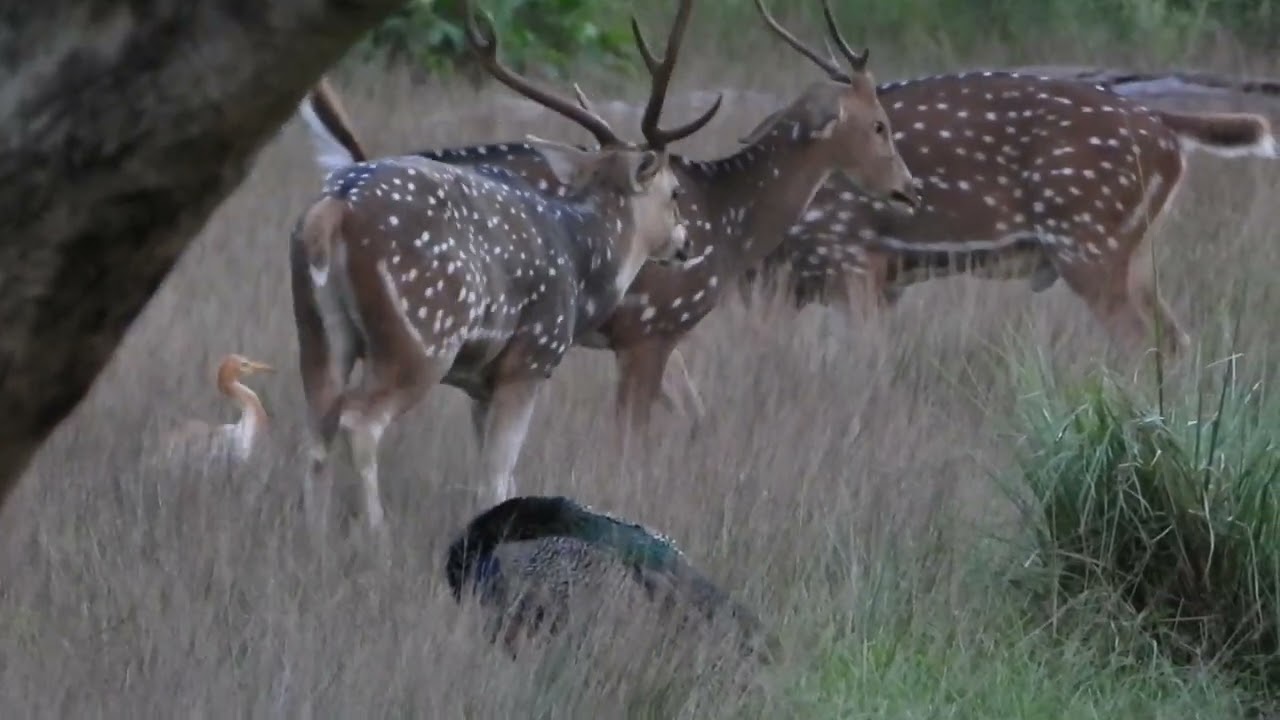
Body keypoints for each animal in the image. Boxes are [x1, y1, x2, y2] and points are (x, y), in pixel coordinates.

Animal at [290, 0, 718, 540]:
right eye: (675, 192)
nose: (685, 243)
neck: (584, 261)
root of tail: (333, 209)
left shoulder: (481, 383)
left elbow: (496, 475)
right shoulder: (530, 359)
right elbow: (497, 475)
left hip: (318, 332)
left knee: (317, 426)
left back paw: (313, 537)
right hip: (420, 336)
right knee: (360, 422)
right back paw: (377, 537)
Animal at [296, 0, 920, 434]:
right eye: (880, 124)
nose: (909, 188)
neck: (732, 226)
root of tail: (342, 182)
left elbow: (695, 417)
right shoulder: (654, 325)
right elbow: (631, 433)